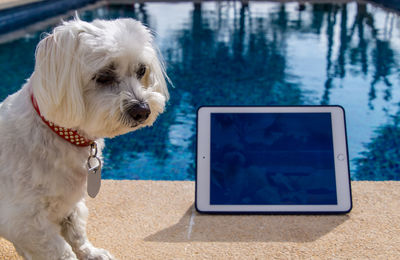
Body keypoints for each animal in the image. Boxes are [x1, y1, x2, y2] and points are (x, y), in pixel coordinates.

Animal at [0, 16, 168, 260]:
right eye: (103, 76)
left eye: (141, 70)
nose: (142, 110)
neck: (58, 132)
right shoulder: (25, 220)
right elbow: (60, 250)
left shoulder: (71, 203)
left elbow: (76, 232)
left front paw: (92, 253)